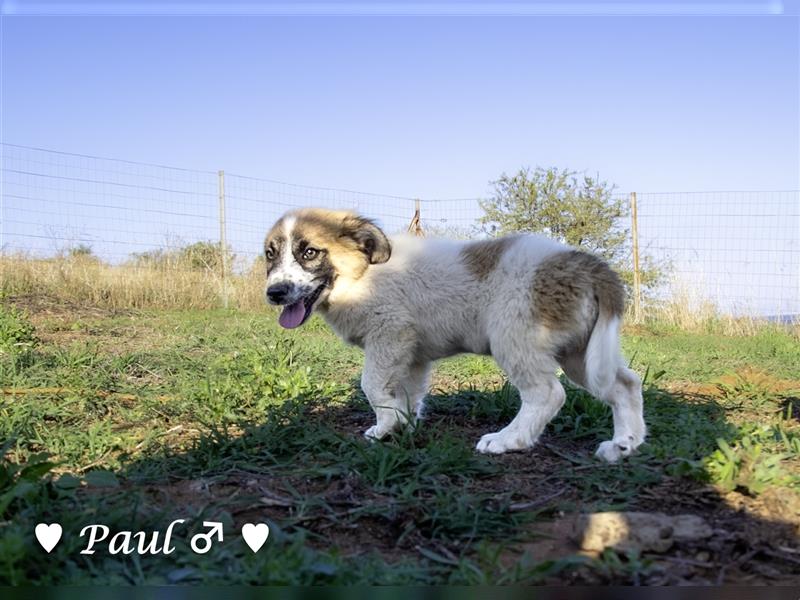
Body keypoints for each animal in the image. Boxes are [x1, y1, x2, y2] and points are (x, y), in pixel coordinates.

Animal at [262, 209, 644, 462]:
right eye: (270, 254)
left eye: (309, 252)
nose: (274, 293)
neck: (362, 276)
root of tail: (587, 264)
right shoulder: (412, 354)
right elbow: (408, 393)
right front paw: (400, 426)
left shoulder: (388, 333)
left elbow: (371, 385)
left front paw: (386, 423)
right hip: (582, 354)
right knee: (625, 384)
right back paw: (624, 444)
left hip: (516, 339)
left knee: (548, 394)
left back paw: (508, 439)